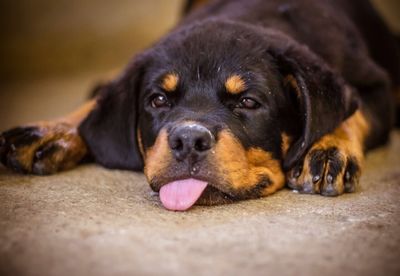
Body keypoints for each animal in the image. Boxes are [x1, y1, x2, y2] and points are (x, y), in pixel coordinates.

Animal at [0, 0, 400, 211]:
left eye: (248, 102)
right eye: (158, 100)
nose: (188, 141)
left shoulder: (378, 85)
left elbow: (352, 114)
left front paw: (328, 150)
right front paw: (52, 131)